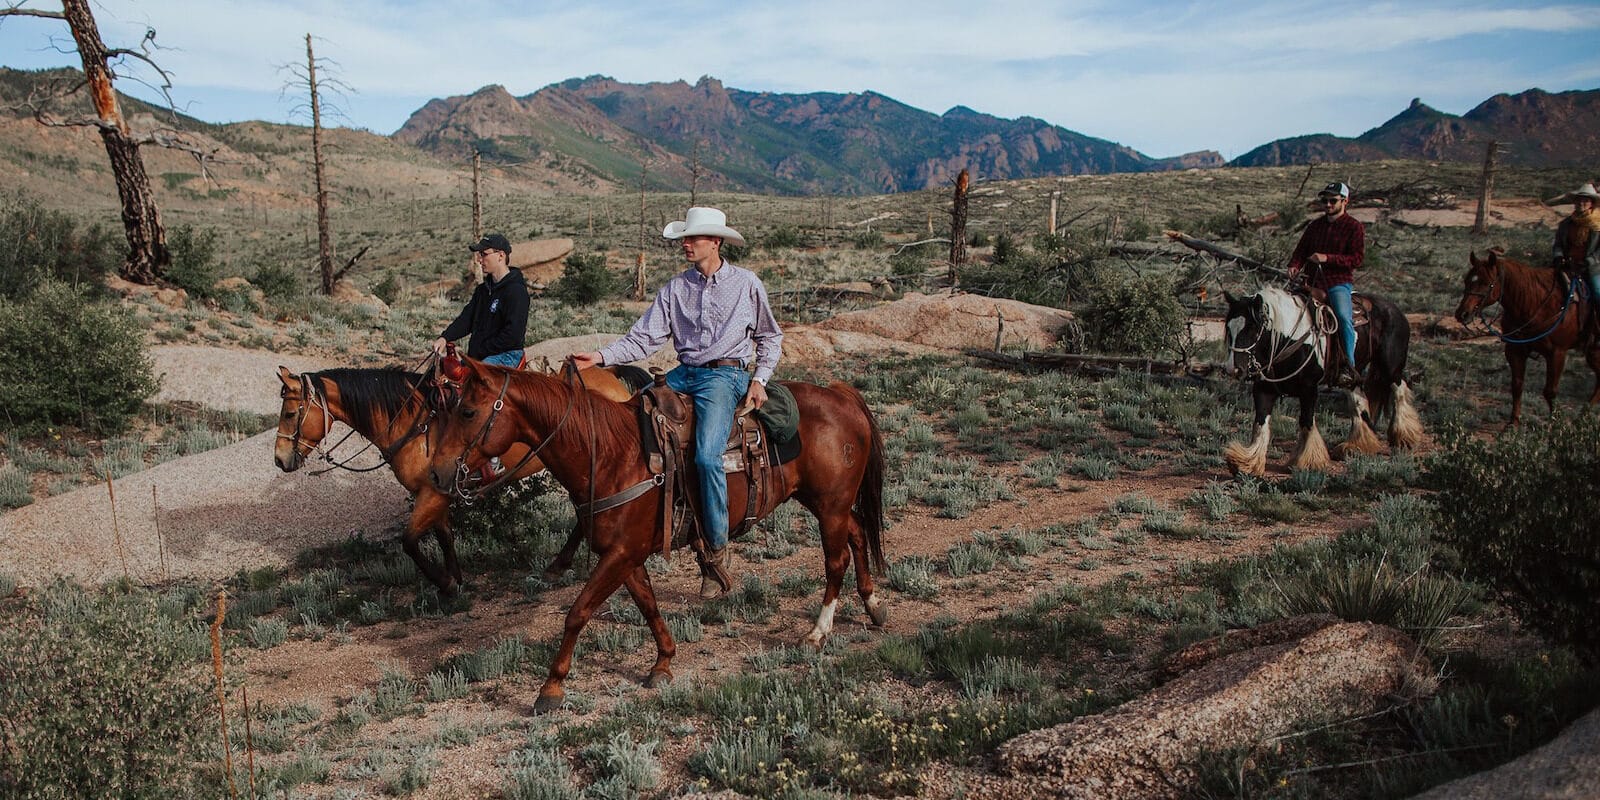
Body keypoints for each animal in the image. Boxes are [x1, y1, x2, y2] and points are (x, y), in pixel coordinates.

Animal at [275, 364, 630, 595]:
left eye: (291, 414)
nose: (279, 459)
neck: (415, 425)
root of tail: (611, 376)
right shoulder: (436, 493)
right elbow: (444, 536)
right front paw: (457, 579)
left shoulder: (432, 494)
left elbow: (409, 541)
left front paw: (444, 583)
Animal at [422, 356, 889, 713]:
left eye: (467, 412)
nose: (438, 473)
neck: (610, 454)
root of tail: (841, 395)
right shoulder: (625, 555)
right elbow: (647, 605)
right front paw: (663, 662)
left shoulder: (621, 554)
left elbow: (578, 612)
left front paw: (551, 688)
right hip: (824, 502)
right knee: (857, 534)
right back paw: (873, 605)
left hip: (829, 505)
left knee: (836, 559)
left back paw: (818, 632)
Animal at [1222, 286, 1427, 476]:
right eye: (1229, 328)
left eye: (1251, 328)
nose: (1233, 368)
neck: (1289, 340)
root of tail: (1396, 310)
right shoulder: (1264, 389)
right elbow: (1260, 423)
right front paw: (1247, 463)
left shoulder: (1309, 389)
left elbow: (1306, 421)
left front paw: (1307, 461)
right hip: (1353, 375)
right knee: (1359, 402)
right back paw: (1357, 445)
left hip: (1390, 366)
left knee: (1400, 388)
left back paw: (1404, 435)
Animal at [1452, 249, 1600, 425]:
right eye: (1467, 280)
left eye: (1486, 283)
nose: (1462, 314)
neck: (1536, 304)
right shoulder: (1515, 350)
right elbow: (1517, 385)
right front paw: (1513, 424)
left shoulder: (1557, 353)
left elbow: (1550, 391)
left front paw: (1555, 424)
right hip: (1593, 352)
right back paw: (1583, 416)